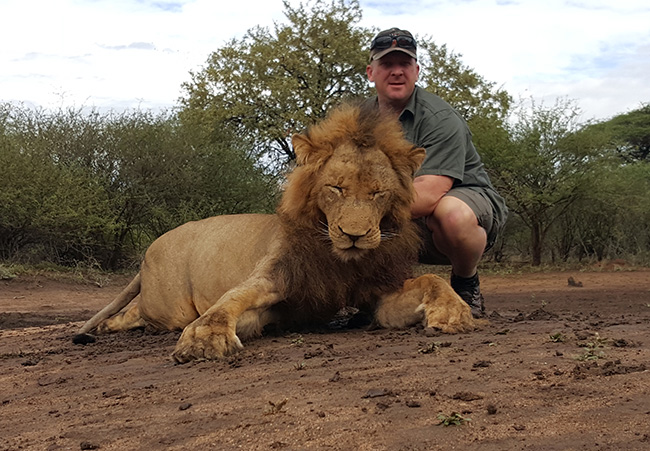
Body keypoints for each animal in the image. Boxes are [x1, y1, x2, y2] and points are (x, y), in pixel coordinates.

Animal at [74, 103, 476, 364]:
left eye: (378, 193)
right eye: (336, 188)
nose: (354, 235)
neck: (339, 258)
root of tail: (150, 249)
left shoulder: (377, 292)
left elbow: (431, 280)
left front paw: (454, 310)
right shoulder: (275, 274)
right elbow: (232, 299)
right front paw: (205, 337)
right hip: (168, 306)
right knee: (136, 313)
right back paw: (102, 327)